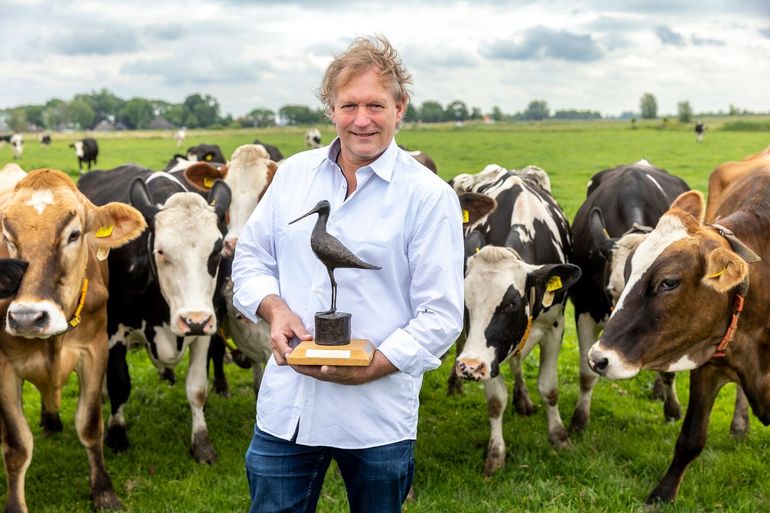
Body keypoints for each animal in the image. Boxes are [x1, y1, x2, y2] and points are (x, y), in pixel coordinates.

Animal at [0, 167, 146, 508]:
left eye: (74, 234)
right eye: (8, 237)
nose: (27, 318)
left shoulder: (95, 352)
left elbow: (90, 426)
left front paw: (104, 492)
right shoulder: (4, 366)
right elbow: (17, 446)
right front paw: (14, 506)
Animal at [77, 165, 231, 464]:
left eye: (217, 252)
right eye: (161, 251)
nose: (194, 320)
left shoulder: (207, 329)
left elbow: (197, 388)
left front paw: (202, 443)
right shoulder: (114, 330)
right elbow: (119, 384)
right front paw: (117, 436)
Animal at [450, 167, 576, 476]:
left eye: (512, 303)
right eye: (465, 302)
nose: (469, 367)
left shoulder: (555, 326)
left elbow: (549, 387)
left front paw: (560, 437)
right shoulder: (486, 351)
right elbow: (496, 401)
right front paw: (495, 454)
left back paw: (523, 399)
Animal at [568, 158, 688, 430]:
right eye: (611, 290)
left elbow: (668, 371)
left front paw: (672, 410)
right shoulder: (583, 310)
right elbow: (586, 373)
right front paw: (579, 420)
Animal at [584, 173, 768, 504]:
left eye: (668, 283)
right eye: (621, 281)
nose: (597, 359)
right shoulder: (709, 365)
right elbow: (691, 438)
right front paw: (661, 495)